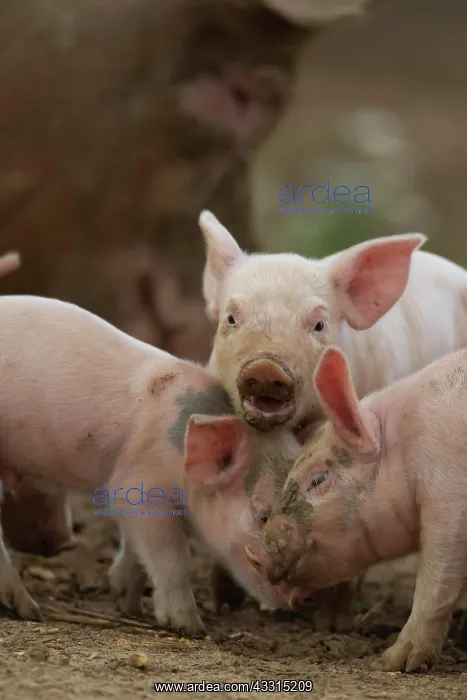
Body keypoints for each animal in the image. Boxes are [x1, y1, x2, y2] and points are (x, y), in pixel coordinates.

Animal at [0, 295, 299, 631]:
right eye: (261, 515)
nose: (298, 598)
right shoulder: (137, 484)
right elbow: (173, 559)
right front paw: (189, 626)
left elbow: (136, 553)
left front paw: (128, 606)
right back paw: (30, 611)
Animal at [246, 344, 467, 672]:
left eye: (318, 478)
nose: (258, 553)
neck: (404, 447)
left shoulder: (449, 501)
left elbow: (435, 584)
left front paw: (391, 663)